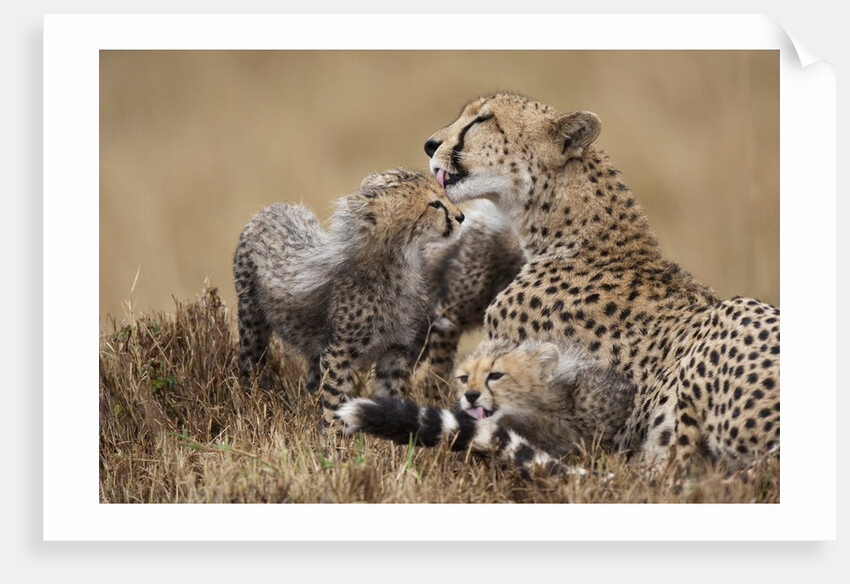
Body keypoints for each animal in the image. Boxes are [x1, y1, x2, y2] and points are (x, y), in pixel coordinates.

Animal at [232, 167, 465, 427]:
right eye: (434, 204)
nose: (461, 217)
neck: (400, 259)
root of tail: (272, 208)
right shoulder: (338, 352)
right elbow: (335, 399)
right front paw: (333, 436)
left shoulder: (395, 348)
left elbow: (392, 391)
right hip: (251, 320)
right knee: (252, 362)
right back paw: (255, 401)